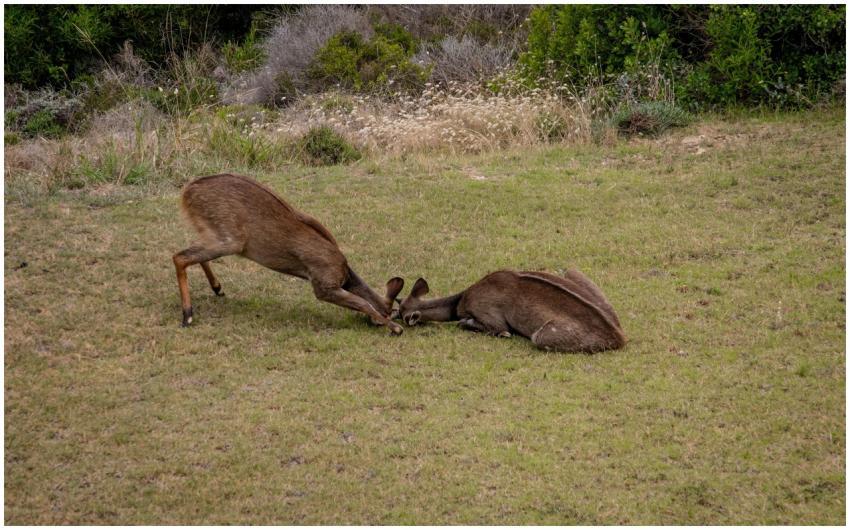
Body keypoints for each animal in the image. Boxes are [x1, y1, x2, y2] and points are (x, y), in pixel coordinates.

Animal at [172, 173, 405, 334]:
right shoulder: (323, 284)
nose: (381, 322)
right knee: (179, 256)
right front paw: (395, 328)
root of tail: (186, 192)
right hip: (230, 239)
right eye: (389, 311)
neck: (345, 273)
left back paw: (217, 288)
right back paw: (187, 316)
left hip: (215, 234)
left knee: (189, 251)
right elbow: (363, 302)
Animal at [397, 270, 626, 352]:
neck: (458, 303)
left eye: (399, 314)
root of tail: (619, 337)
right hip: (571, 271)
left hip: (540, 336)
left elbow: (495, 329)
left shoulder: (493, 320)